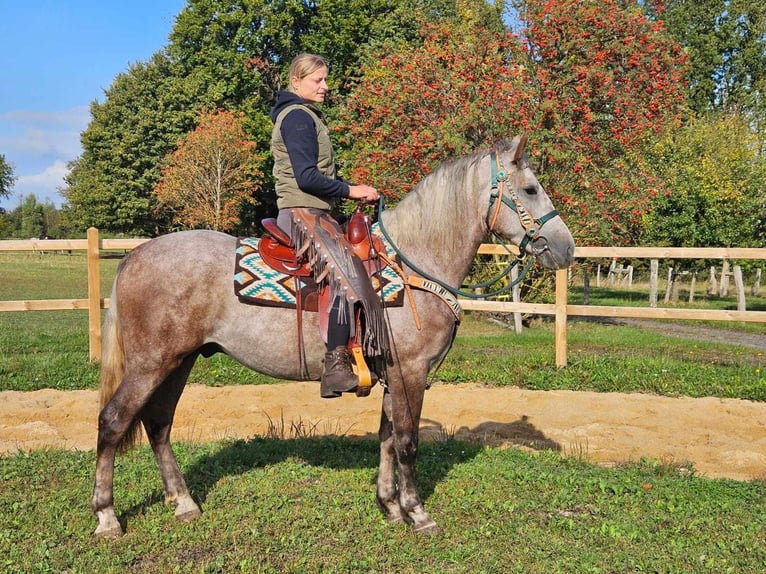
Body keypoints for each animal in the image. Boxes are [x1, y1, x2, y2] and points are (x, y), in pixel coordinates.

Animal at [91, 136, 576, 540]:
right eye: (530, 190)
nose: (566, 248)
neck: (413, 263)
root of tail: (134, 255)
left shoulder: (393, 374)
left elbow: (386, 436)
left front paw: (390, 506)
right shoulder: (411, 372)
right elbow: (407, 442)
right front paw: (418, 513)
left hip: (180, 360)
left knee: (158, 424)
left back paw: (184, 502)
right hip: (151, 363)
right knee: (113, 421)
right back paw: (107, 517)